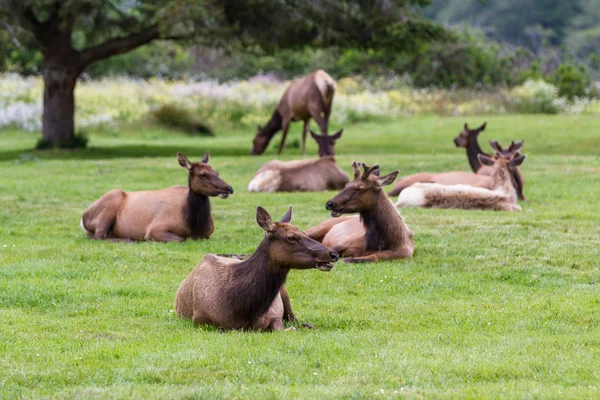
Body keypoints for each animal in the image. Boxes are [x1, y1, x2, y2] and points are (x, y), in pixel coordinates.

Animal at [81, 152, 234, 241]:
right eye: (203, 174)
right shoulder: (156, 228)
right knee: (100, 236)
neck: (195, 225)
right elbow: (181, 239)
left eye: (216, 172)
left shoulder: (208, 234)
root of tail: (83, 218)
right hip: (108, 207)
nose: (229, 188)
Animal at [176, 206, 340, 332]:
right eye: (291, 237)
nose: (333, 254)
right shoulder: (201, 320)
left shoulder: (274, 314)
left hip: (284, 292)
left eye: (304, 232)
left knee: (295, 319)